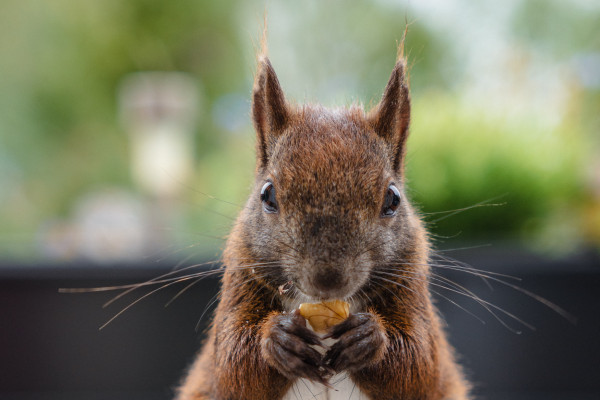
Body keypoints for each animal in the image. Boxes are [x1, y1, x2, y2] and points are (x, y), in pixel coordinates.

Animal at [176, 42, 472, 398]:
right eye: (268, 195)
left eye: (392, 199)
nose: (328, 280)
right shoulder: (240, 279)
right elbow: (233, 366)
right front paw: (278, 340)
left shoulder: (411, 282)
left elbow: (420, 364)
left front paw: (369, 338)